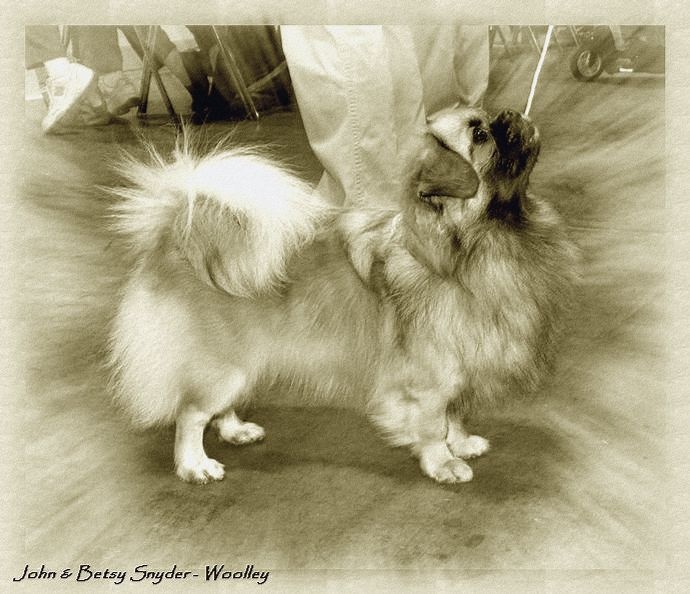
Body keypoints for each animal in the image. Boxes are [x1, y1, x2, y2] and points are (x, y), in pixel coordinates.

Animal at [108, 106, 579, 484]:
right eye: (480, 134)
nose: (511, 114)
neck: (479, 245)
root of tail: (176, 236)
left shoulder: (460, 369)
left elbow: (455, 415)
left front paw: (460, 444)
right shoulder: (428, 377)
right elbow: (431, 424)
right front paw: (443, 463)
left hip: (241, 365)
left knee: (217, 409)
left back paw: (236, 430)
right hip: (220, 367)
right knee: (190, 415)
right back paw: (195, 466)